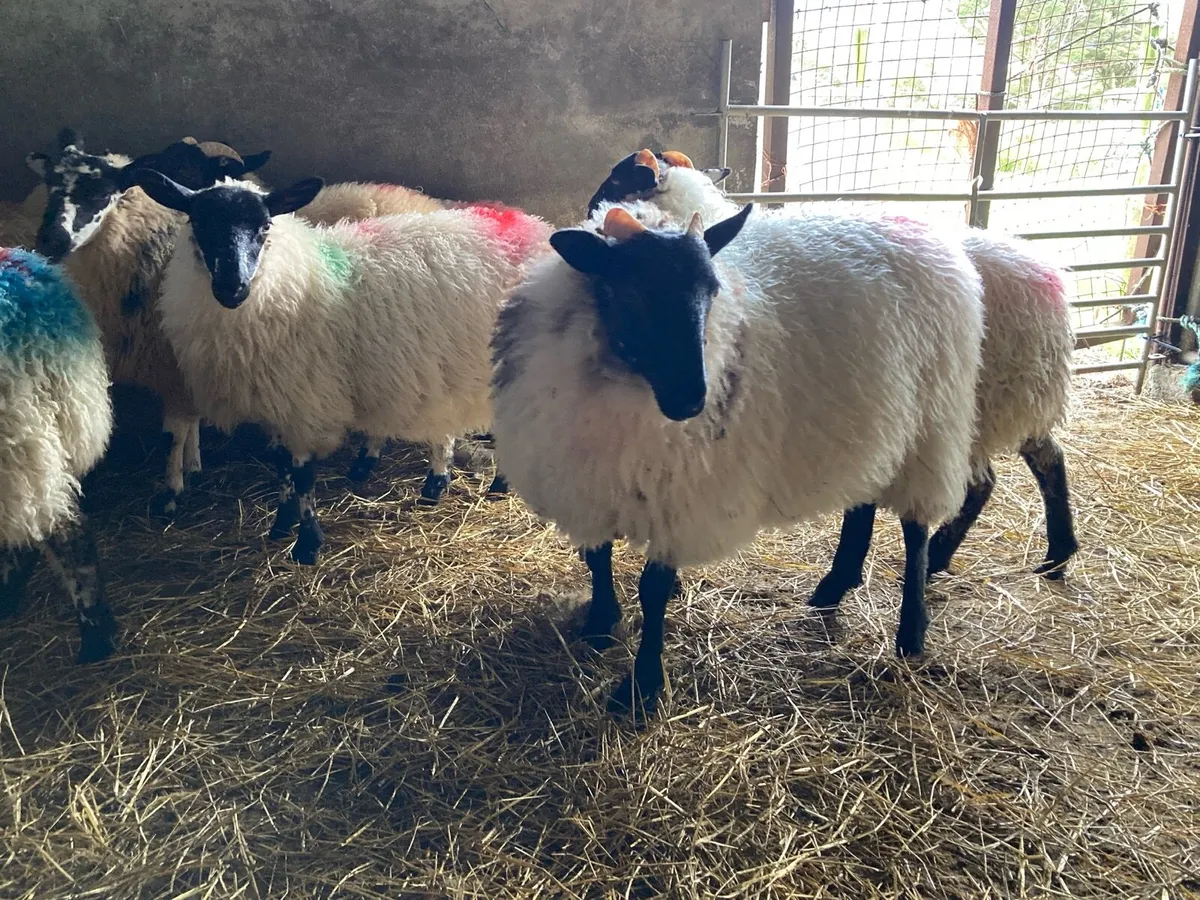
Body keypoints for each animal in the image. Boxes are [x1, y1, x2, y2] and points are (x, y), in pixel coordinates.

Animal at [28, 128, 271, 516]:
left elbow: (174, 432)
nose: (52, 239)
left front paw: (171, 491)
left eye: (101, 193)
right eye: (51, 185)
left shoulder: (175, 363)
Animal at [129, 169, 550, 564]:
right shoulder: (276, 402)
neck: (293, 279)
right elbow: (281, 465)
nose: (232, 287)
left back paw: (496, 485)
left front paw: (307, 544)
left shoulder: (305, 398)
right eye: (199, 224)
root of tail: (529, 224)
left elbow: (301, 474)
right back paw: (440, 485)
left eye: (264, 227)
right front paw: (281, 525)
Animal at [490, 202, 986, 717]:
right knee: (863, 498)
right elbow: (597, 557)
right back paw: (834, 585)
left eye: (712, 289)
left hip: (931, 424)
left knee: (915, 528)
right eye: (630, 289)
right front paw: (600, 623)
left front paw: (642, 686)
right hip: (875, 421)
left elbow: (653, 590)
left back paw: (911, 630)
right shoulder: (585, 479)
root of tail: (919, 226)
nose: (692, 400)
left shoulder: (682, 497)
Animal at [589, 150, 1079, 605]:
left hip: (982, 399)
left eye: (616, 177)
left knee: (999, 475)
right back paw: (1048, 553)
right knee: (1030, 463)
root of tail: (1047, 274)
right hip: (1003, 396)